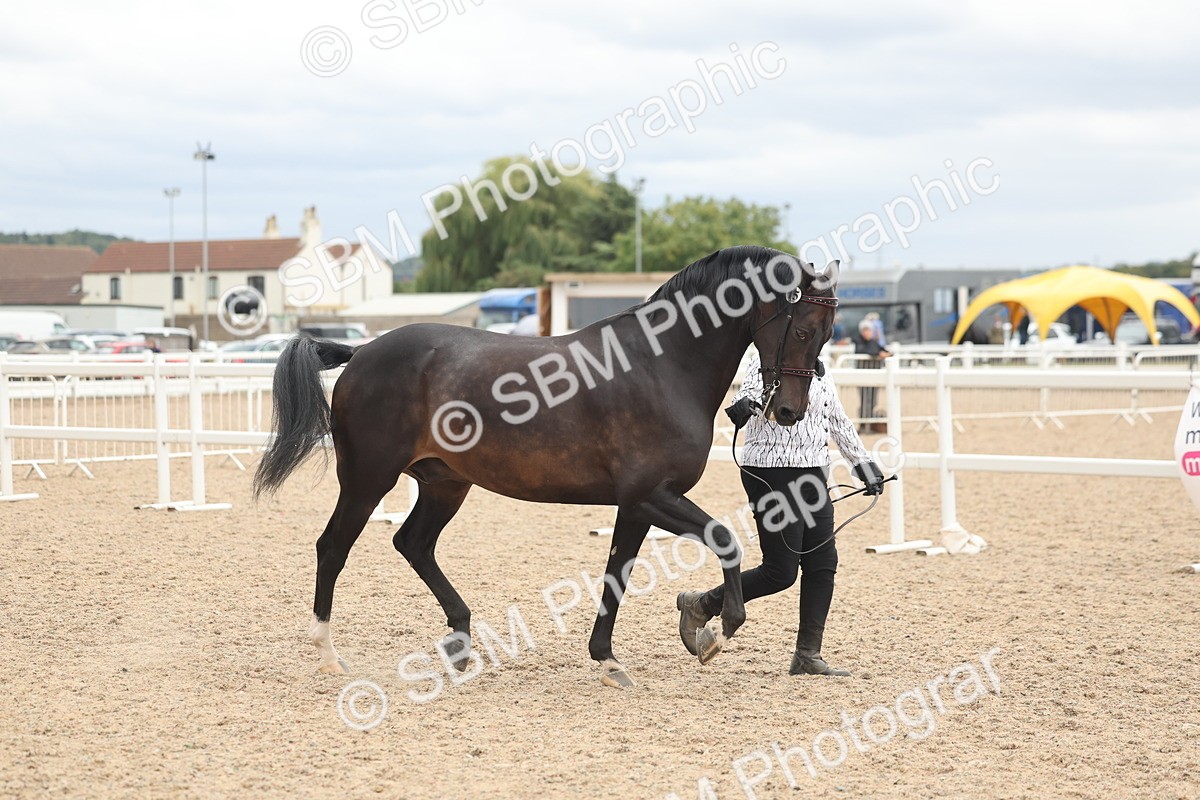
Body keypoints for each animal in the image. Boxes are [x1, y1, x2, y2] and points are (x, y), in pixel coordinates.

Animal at [253, 245, 839, 687]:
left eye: (828, 332)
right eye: (803, 329)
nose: (790, 412)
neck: (662, 365)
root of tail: (362, 352)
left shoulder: (637, 504)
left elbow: (617, 573)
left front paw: (609, 658)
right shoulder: (652, 495)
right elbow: (724, 538)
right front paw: (716, 631)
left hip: (446, 484)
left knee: (413, 543)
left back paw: (460, 642)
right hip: (367, 480)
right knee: (333, 548)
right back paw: (329, 654)